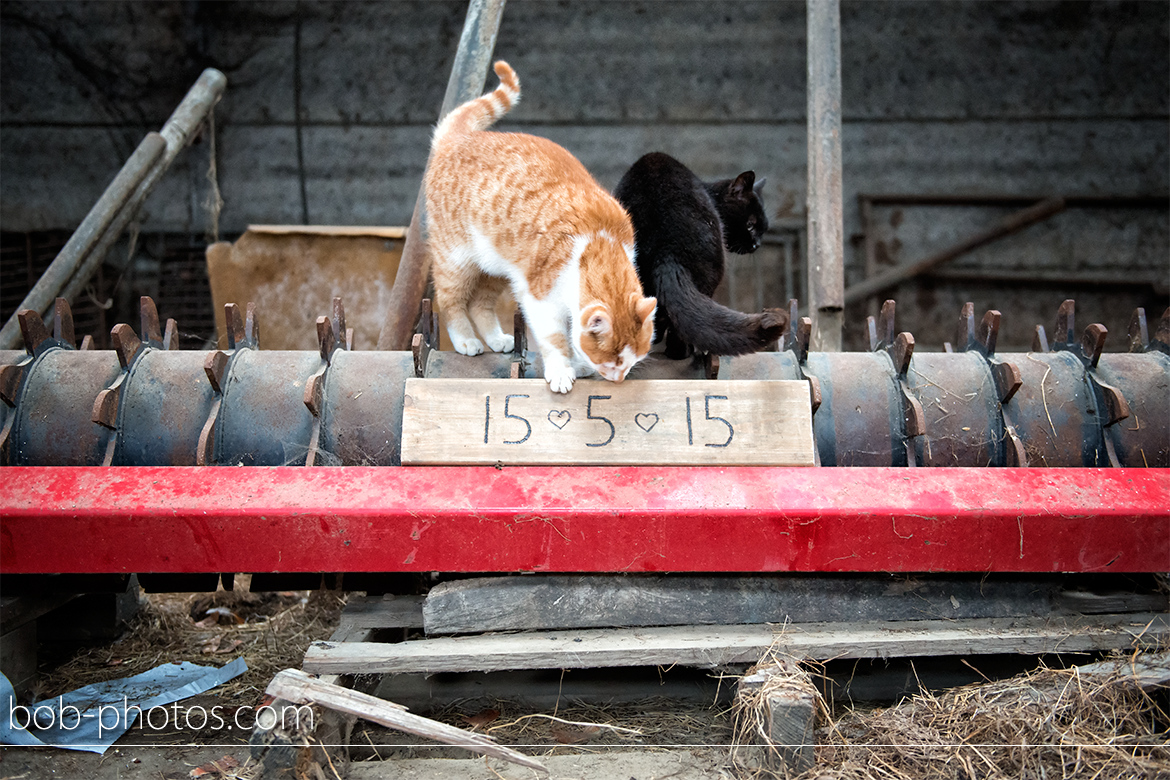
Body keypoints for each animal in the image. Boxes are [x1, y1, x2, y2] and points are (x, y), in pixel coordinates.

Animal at [425, 61, 659, 392]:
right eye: (610, 363)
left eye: (632, 361)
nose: (618, 379)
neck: (599, 243)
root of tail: (459, 138)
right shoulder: (539, 300)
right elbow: (555, 339)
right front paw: (562, 370)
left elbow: (571, 334)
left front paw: (577, 364)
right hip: (454, 260)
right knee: (450, 300)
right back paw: (466, 340)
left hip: (498, 267)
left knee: (480, 304)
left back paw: (496, 338)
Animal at [613, 152, 786, 360]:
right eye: (750, 225)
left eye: (763, 229)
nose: (756, 244)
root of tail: (666, 249)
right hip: (712, 272)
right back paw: (681, 352)